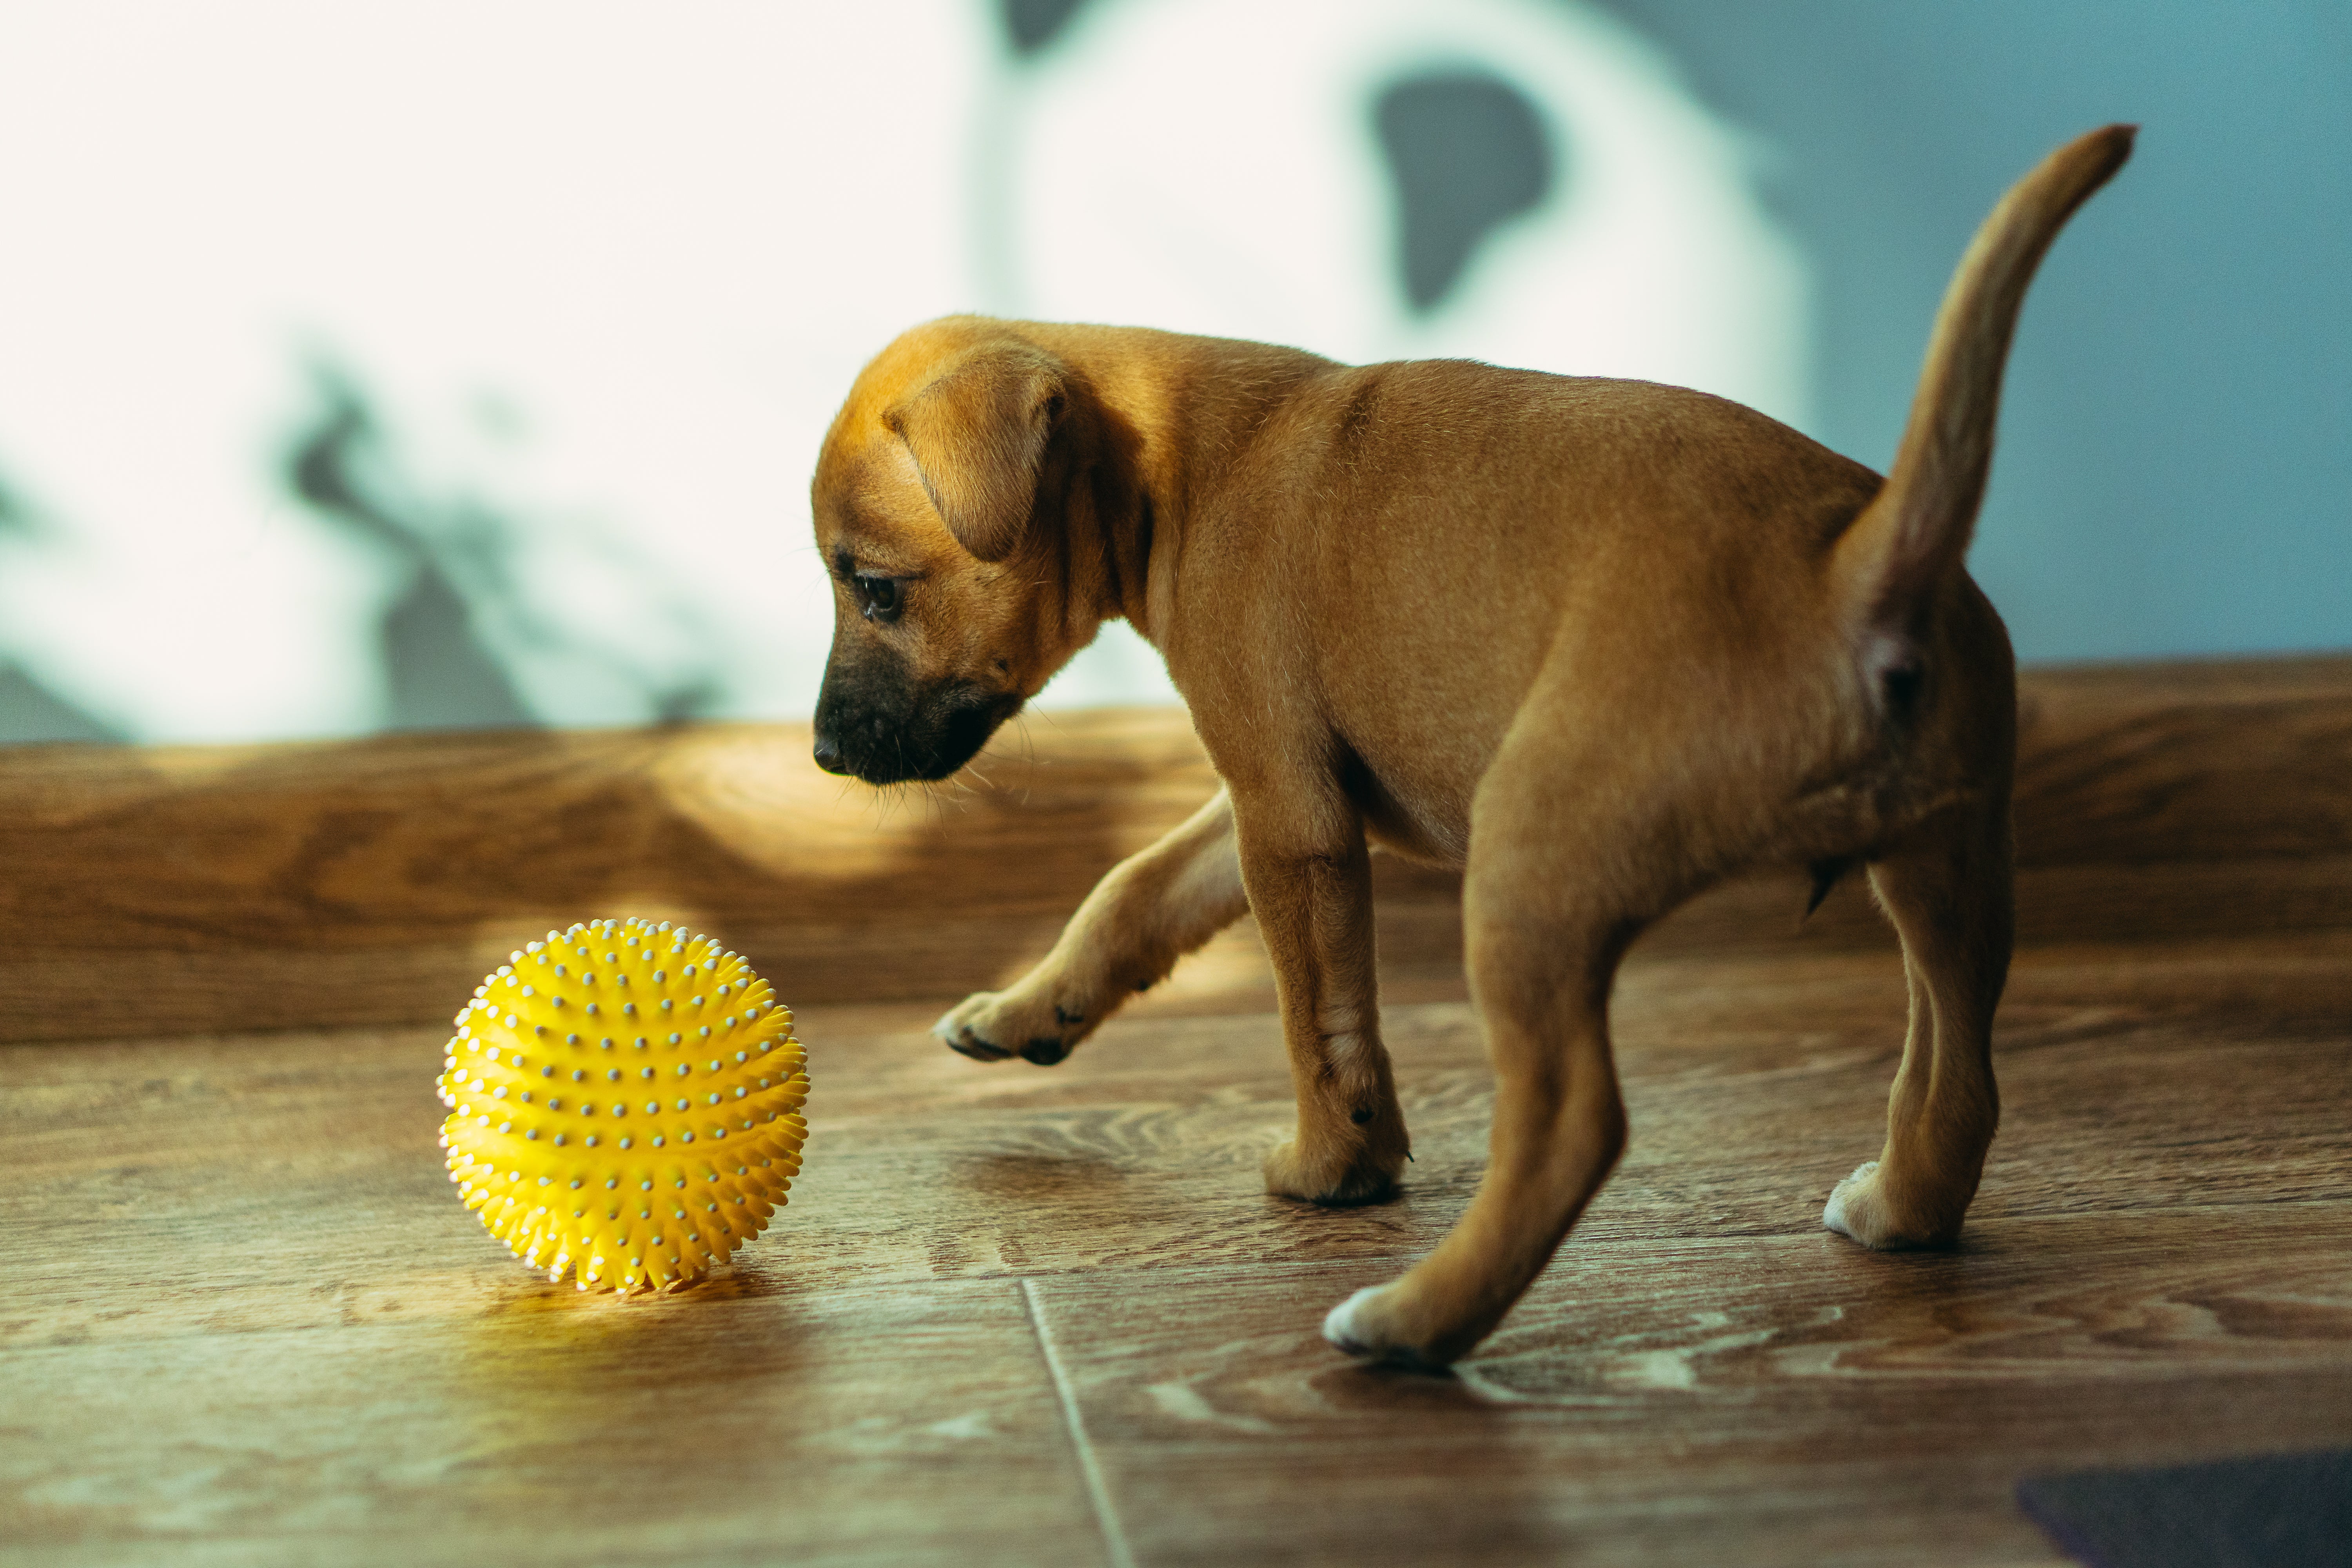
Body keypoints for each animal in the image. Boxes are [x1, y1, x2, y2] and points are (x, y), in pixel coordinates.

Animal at [818, 129, 2145, 1363]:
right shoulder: (1260, 793)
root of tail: (1846, 569)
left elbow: (1320, 1021)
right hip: (1945, 868)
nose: (825, 757)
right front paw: (1029, 1011)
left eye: (876, 589)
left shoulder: (1290, 822)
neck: (1173, 464)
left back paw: (1415, 1320)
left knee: (1572, 1126)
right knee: (1956, 1068)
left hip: (1531, 874)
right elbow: (1135, 889)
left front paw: (1333, 1170)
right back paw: (1901, 1207)